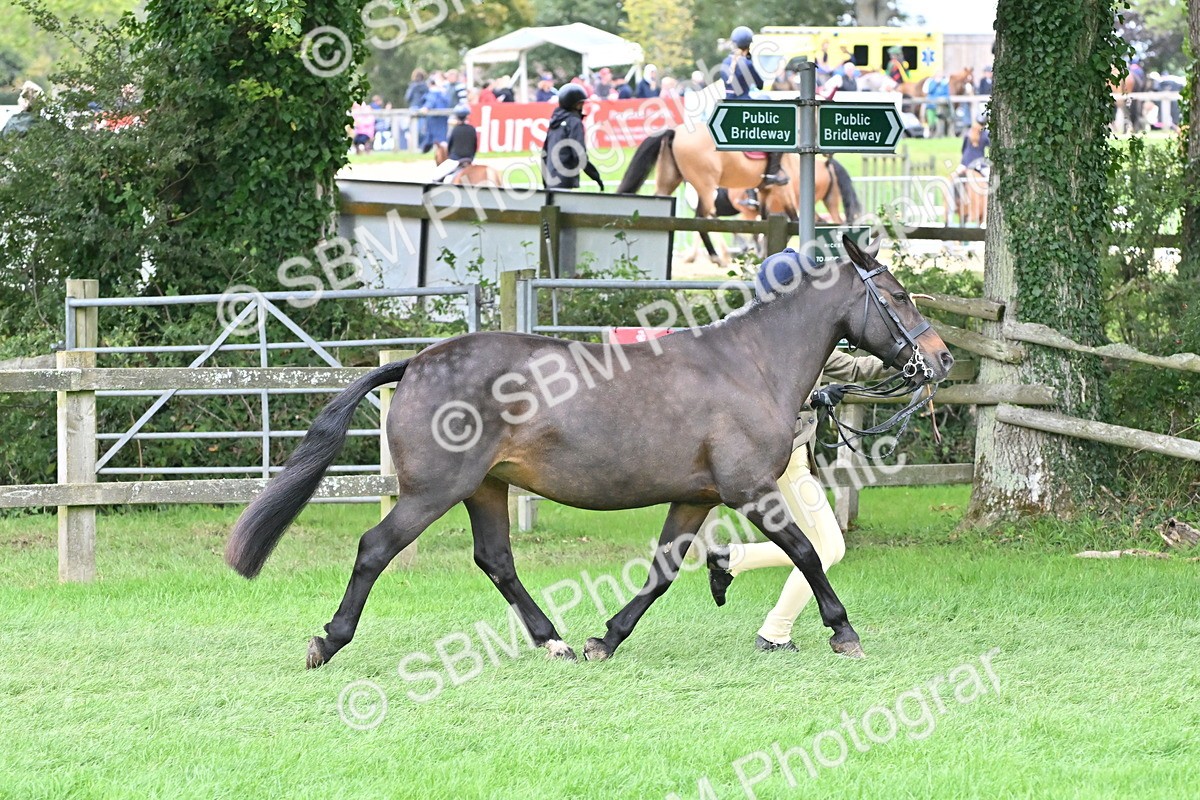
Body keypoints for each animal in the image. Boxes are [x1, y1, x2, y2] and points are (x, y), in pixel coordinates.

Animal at [224, 236, 954, 669]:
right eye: (897, 295)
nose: (942, 359)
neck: (749, 366)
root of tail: (418, 362)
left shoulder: (695, 497)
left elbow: (663, 571)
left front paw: (609, 635)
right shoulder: (750, 488)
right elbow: (806, 552)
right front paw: (843, 630)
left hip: (485, 488)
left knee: (496, 560)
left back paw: (555, 640)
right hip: (433, 492)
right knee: (376, 549)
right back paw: (328, 640)